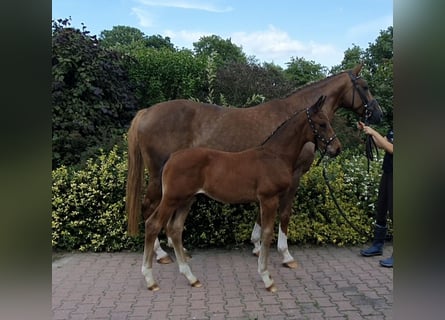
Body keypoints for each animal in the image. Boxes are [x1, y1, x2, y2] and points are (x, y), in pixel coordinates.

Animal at [125, 62, 382, 268]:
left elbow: (261, 212)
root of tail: (146, 112)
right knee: (149, 208)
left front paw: (257, 244)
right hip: (158, 176)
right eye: (365, 86)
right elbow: (285, 212)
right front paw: (285, 254)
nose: (379, 114)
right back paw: (160, 254)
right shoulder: (294, 176)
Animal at [142, 95, 340, 292]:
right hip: (171, 199)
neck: (275, 155)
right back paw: (150, 279)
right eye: (322, 124)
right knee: (153, 224)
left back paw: (191, 277)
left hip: (186, 200)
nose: (337, 148)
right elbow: (267, 233)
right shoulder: (269, 199)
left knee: (175, 229)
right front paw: (267, 278)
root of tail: (171, 158)